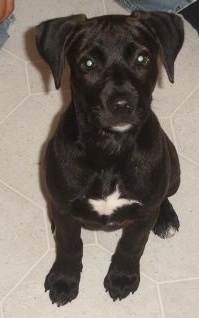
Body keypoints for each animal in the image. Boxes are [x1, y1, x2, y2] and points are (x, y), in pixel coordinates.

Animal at [36, 11, 183, 306]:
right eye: (88, 63)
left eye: (142, 58)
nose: (122, 105)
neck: (110, 149)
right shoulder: (65, 207)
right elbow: (69, 246)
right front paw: (64, 279)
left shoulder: (143, 214)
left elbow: (132, 245)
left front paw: (122, 277)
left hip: (174, 169)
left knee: (164, 196)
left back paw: (166, 218)